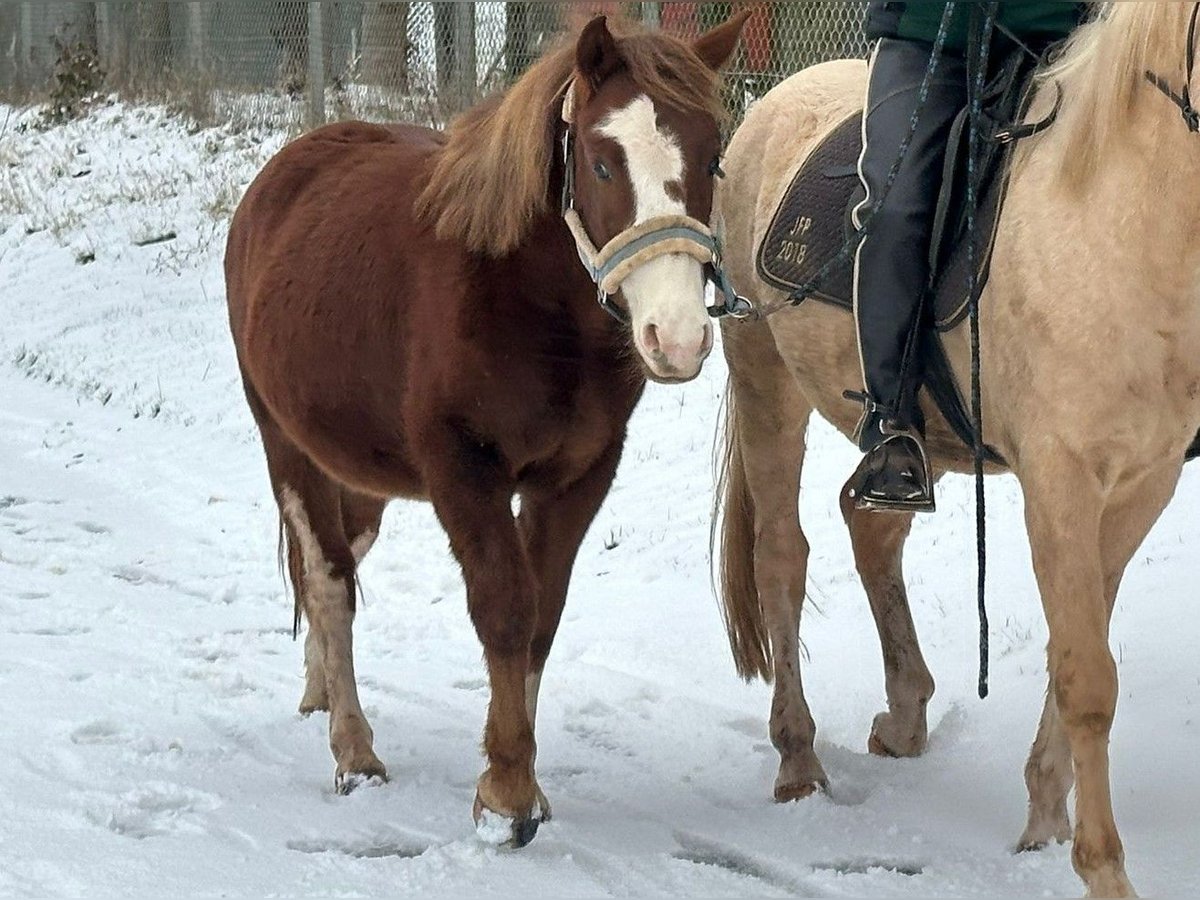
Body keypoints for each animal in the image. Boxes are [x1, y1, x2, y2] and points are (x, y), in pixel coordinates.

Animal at [224, 10, 744, 849]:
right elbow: (504, 608)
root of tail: (282, 175)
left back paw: (320, 689)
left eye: (712, 155)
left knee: (334, 562)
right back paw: (353, 749)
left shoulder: (578, 478)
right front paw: (505, 797)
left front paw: (524, 778)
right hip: (286, 443)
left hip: (360, 471)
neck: (522, 297)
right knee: (330, 580)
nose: (677, 337)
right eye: (602, 161)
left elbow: (542, 618)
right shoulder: (465, 471)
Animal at [710, 3, 1200, 897]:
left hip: (913, 443)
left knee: (871, 524)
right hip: (766, 385)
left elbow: (1078, 652)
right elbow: (1087, 677)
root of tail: (773, 103)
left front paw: (1044, 817)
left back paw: (905, 714)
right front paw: (1101, 866)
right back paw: (798, 761)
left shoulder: (1140, 488)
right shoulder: (1060, 483)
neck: (1118, 218)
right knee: (780, 560)